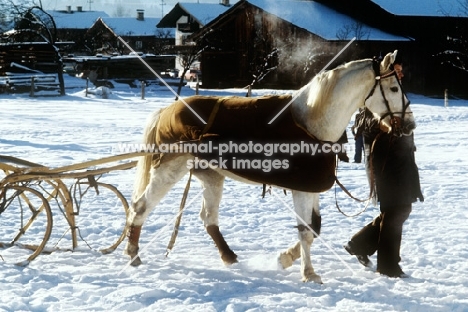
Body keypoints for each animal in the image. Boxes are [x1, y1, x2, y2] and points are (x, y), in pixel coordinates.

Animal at [123, 50, 414, 282]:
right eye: (394, 89)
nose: (410, 124)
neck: (313, 120)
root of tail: (166, 111)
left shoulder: (311, 189)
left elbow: (314, 227)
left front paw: (285, 258)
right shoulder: (301, 190)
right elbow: (306, 232)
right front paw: (309, 273)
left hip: (212, 176)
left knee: (208, 218)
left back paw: (228, 256)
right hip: (169, 170)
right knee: (140, 207)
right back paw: (133, 254)